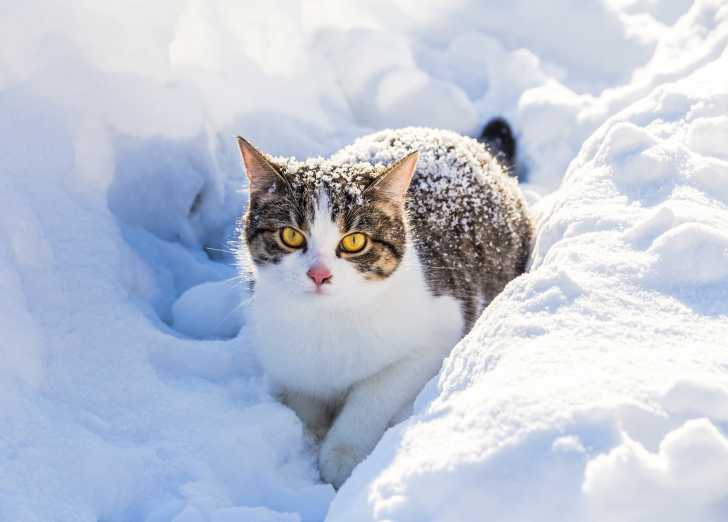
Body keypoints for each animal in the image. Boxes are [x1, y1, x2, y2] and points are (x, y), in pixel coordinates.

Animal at [236, 124, 532, 486]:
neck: (328, 321)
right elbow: (302, 395)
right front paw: (310, 435)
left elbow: (376, 392)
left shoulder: (440, 327)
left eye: (354, 241)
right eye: (291, 236)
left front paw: (341, 456)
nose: (319, 274)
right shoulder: (279, 349)